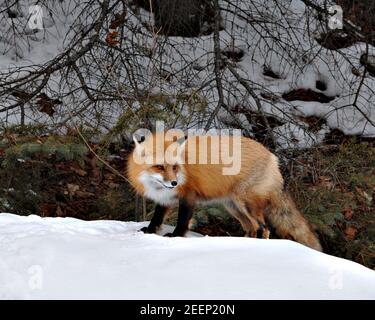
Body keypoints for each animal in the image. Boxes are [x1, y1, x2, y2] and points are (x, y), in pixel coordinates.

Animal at [127, 131, 324, 251]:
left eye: (175, 167)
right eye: (159, 167)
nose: (174, 183)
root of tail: (272, 157)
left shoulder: (188, 197)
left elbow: (182, 221)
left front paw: (175, 237)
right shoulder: (165, 198)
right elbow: (156, 218)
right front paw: (149, 231)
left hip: (246, 204)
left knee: (264, 229)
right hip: (233, 207)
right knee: (252, 228)